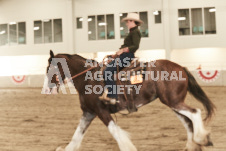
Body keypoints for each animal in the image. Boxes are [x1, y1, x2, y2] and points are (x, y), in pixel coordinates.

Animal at [44, 50, 215, 151]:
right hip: (173, 103)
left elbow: (114, 131)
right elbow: (77, 135)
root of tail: (181, 67)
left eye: (51, 68)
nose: (47, 89)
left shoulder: (101, 111)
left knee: (195, 113)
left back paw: (201, 138)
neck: (88, 79)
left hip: (173, 102)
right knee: (188, 121)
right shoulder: (89, 112)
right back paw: (193, 144)